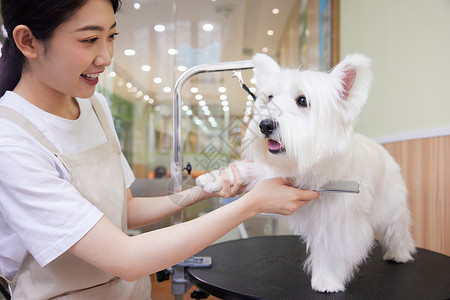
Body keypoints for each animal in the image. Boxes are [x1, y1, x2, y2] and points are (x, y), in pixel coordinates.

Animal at [195, 52, 416, 292]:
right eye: (270, 98)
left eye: (302, 100)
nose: (265, 125)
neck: (307, 167)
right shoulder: (272, 171)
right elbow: (249, 168)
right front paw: (214, 178)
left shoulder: (337, 217)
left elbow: (332, 248)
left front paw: (327, 280)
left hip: (391, 205)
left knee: (397, 229)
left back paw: (399, 253)